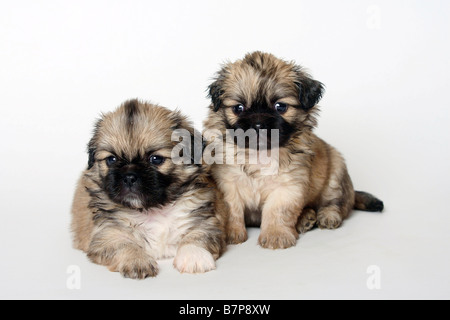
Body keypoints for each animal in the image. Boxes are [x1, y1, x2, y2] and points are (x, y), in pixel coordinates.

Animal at [71, 99, 225, 278]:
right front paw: (136, 260)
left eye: (156, 159)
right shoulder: (107, 233)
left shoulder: (203, 222)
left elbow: (197, 236)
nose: (129, 176)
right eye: (111, 160)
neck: (152, 210)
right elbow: (123, 244)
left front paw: (194, 256)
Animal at [204, 50, 384, 250]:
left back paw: (326, 216)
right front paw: (231, 234)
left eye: (280, 107)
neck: (259, 154)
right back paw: (306, 218)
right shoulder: (228, 185)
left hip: (335, 176)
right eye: (238, 108)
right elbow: (233, 211)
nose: (258, 125)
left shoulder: (287, 188)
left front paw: (276, 235)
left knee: (337, 204)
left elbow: (277, 211)